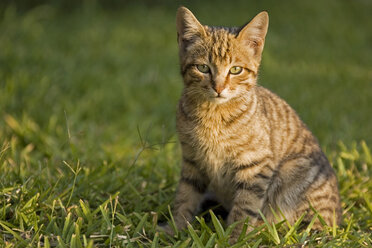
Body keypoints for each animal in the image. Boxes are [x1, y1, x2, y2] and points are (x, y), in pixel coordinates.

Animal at [163, 5, 342, 242]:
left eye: (235, 70)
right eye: (202, 67)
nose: (218, 88)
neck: (213, 115)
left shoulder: (256, 166)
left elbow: (245, 206)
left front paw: (234, 238)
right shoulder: (192, 160)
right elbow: (185, 196)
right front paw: (175, 228)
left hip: (293, 175)